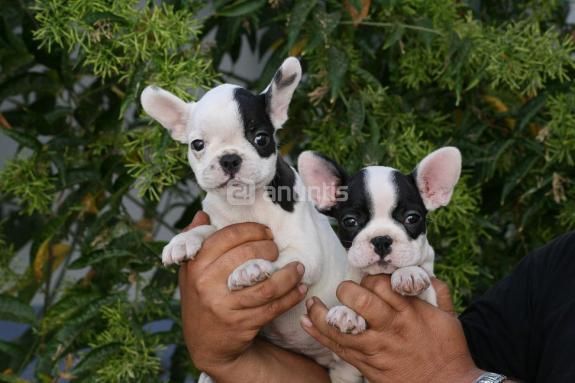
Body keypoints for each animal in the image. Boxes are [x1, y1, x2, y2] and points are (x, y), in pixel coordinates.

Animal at [141, 57, 360, 383]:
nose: (229, 158)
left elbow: (282, 258)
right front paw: (183, 240)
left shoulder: (306, 254)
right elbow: (208, 229)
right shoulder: (221, 222)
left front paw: (251, 267)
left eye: (261, 138)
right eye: (197, 145)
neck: (246, 204)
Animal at [300, 148, 462, 336]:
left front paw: (408, 273)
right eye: (350, 221)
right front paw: (347, 310)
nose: (381, 240)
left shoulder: (430, 299)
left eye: (412, 218)